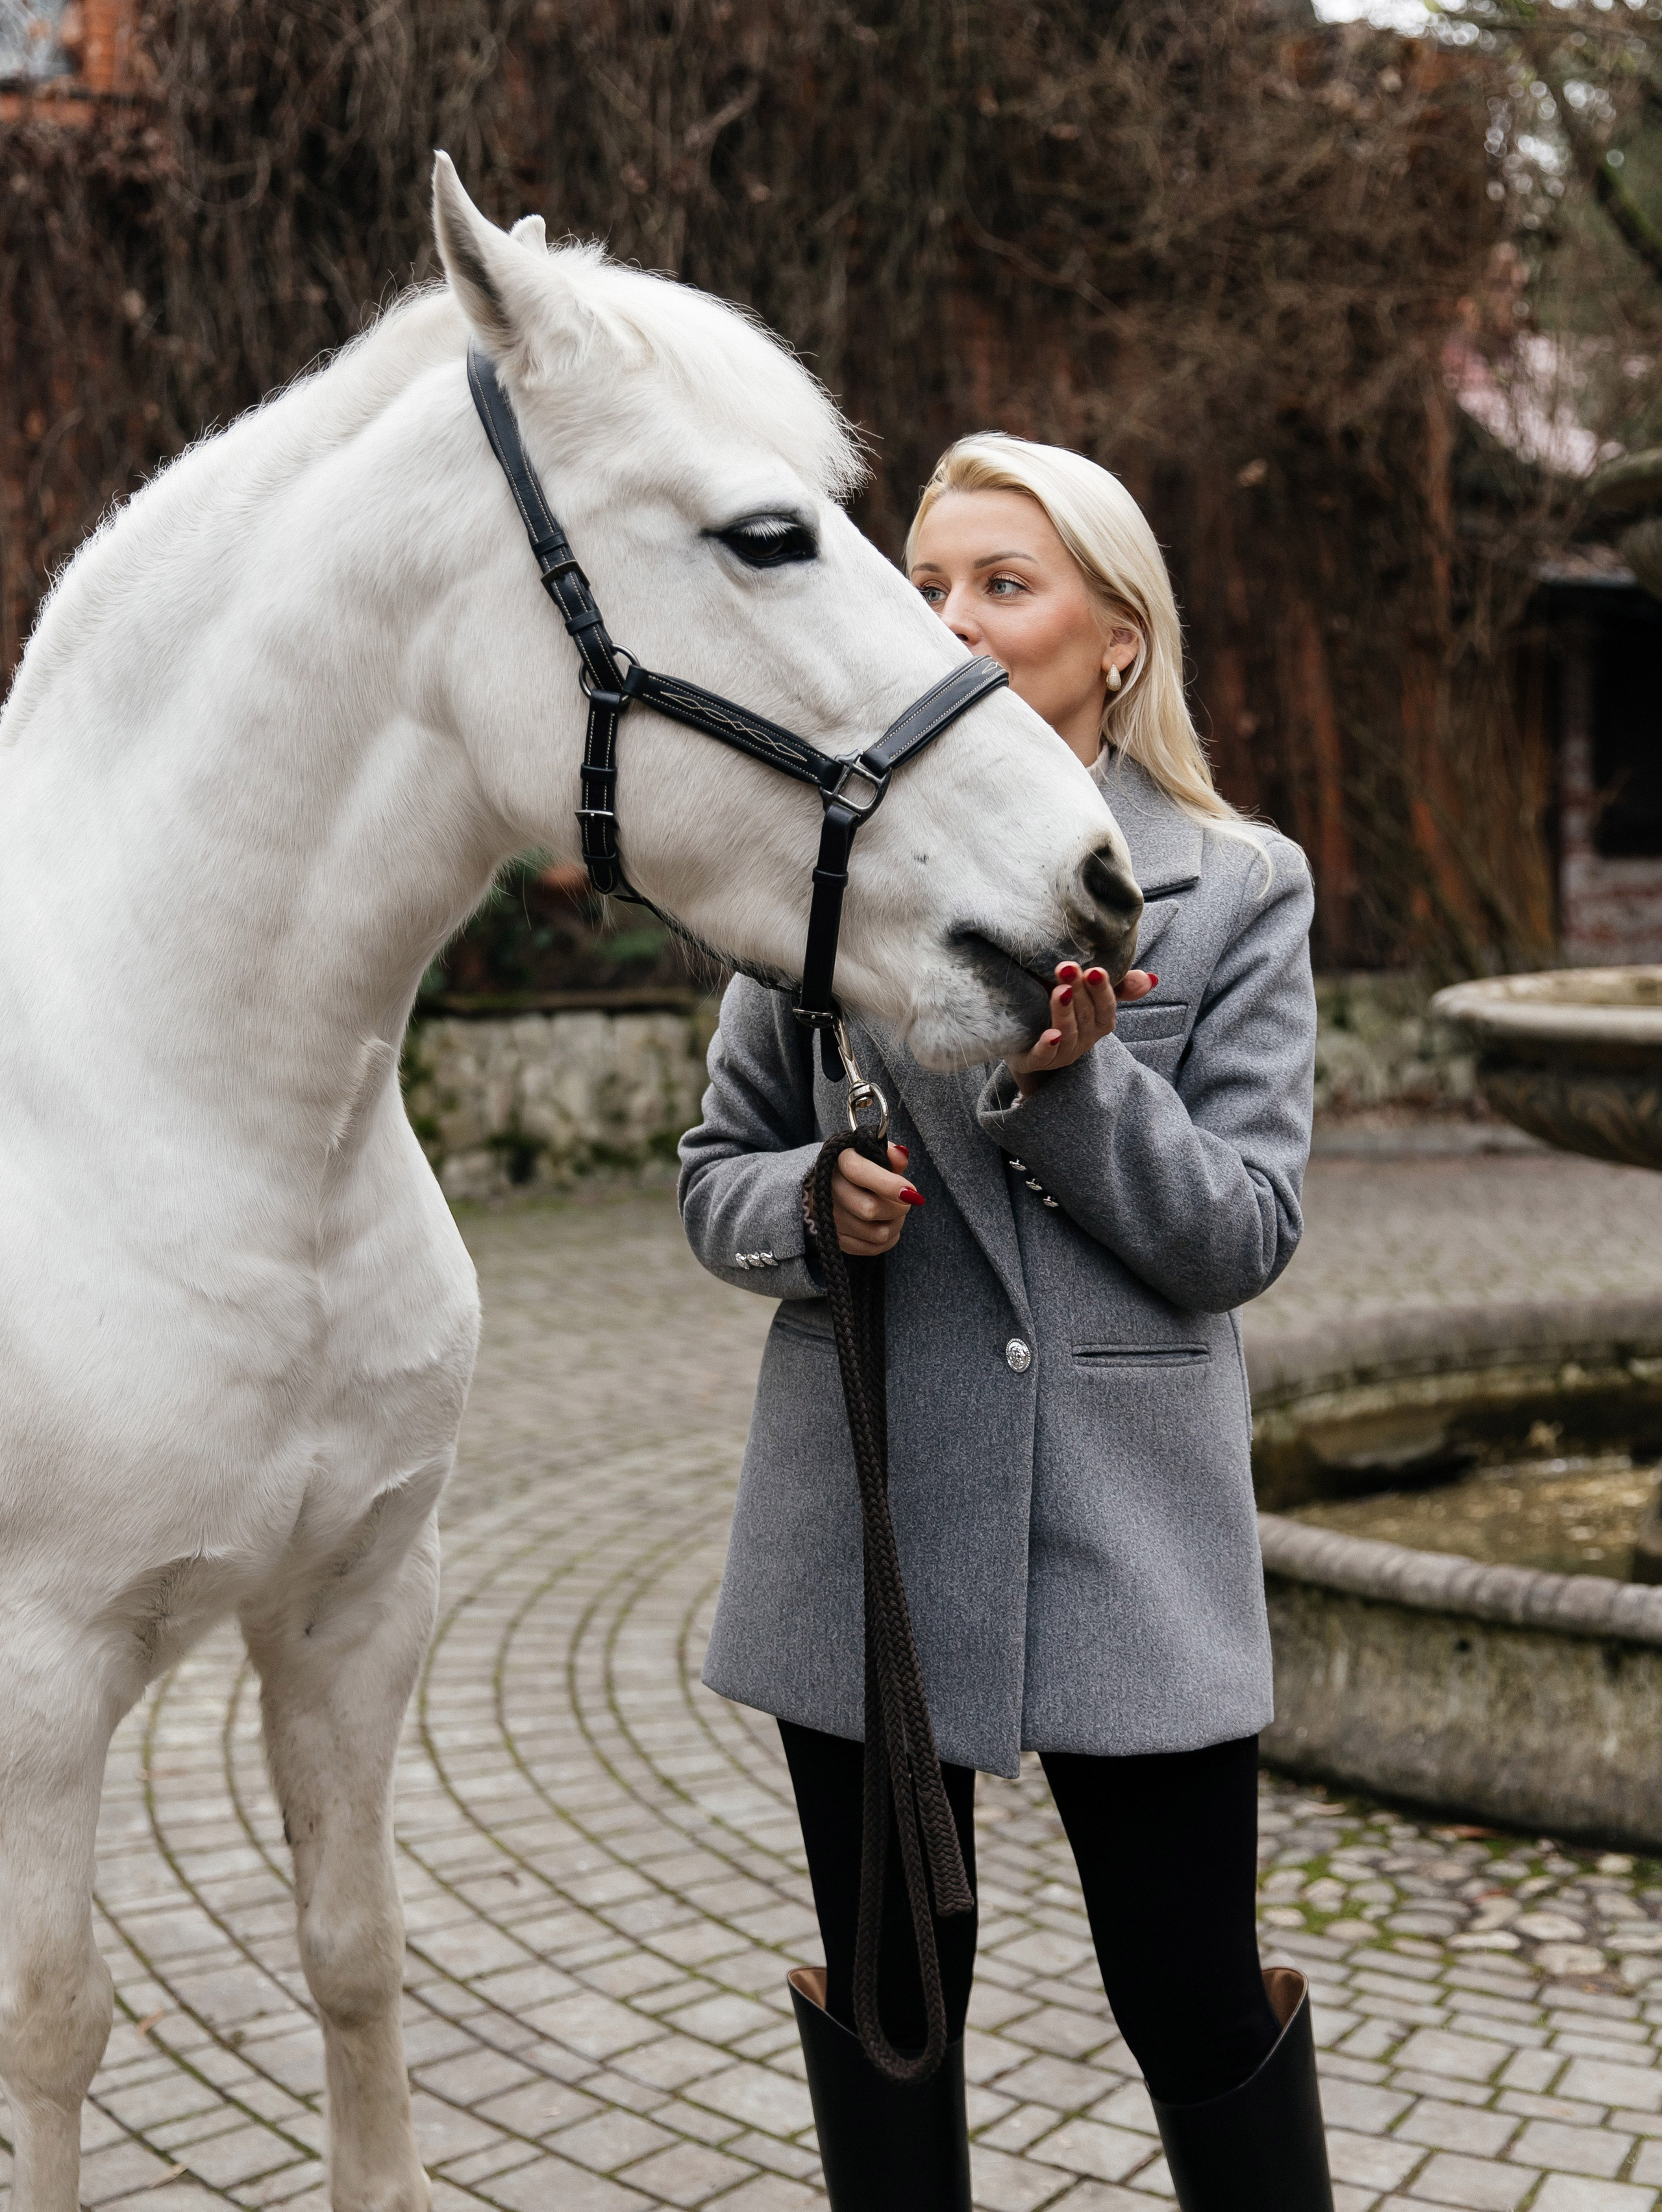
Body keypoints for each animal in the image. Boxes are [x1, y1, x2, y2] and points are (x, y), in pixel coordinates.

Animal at [0, 154, 1140, 2212]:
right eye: (767, 536)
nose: (1096, 885)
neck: (181, 1112)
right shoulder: (39, 1678)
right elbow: (53, 2030)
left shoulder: (359, 1607)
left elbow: (354, 1952)